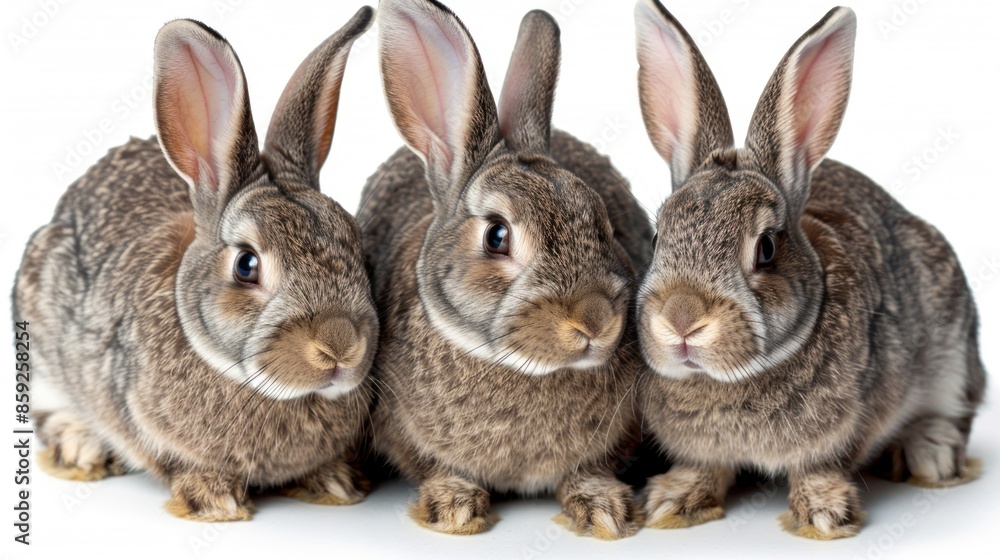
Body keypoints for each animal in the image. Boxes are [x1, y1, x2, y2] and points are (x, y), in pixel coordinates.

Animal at [12, 7, 379, 521]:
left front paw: (335, 481)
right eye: (246, 265)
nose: (340, 347)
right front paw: (215, 499)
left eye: (356, 243)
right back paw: (80, 447)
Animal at [357, 0, 653, 539]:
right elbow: (437, 467)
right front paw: (453, 506)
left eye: (602, 221)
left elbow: (589, 470)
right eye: (497, 236)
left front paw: (603, 508)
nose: (595, 320)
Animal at [631, 0, 987, 540]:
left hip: (953, 347)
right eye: (657, 238)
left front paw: (823, 514)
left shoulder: (848, 427)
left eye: (766, 249)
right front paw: (674, 501)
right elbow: (704, 466)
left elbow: (820, 467)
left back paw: (931, 453)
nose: (681, 319)